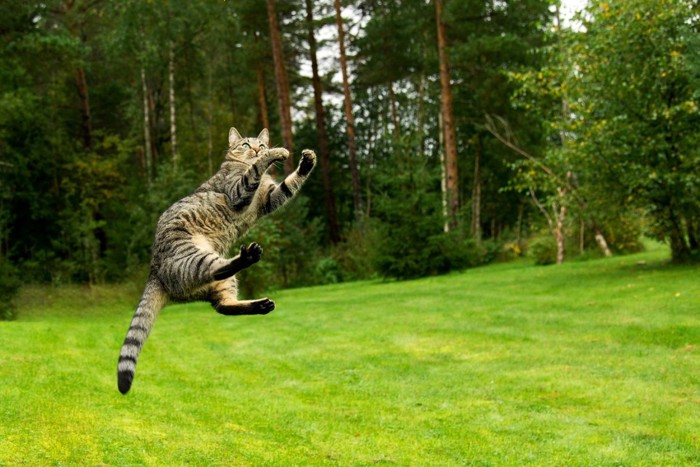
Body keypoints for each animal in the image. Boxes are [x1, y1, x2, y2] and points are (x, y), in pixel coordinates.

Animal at [117, 128, 318, 394]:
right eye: (246, 144)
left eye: (261, 143)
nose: (258, 149)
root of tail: (154, 270)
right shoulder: (238, 191)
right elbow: (255, 169)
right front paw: (275, 154)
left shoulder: (270, 198)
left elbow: (289, 184)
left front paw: (307, 162)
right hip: (198, 257)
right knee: (219, 271)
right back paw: (247, 257)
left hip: (221, 283)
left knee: (222, 305)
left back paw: (259, 304)